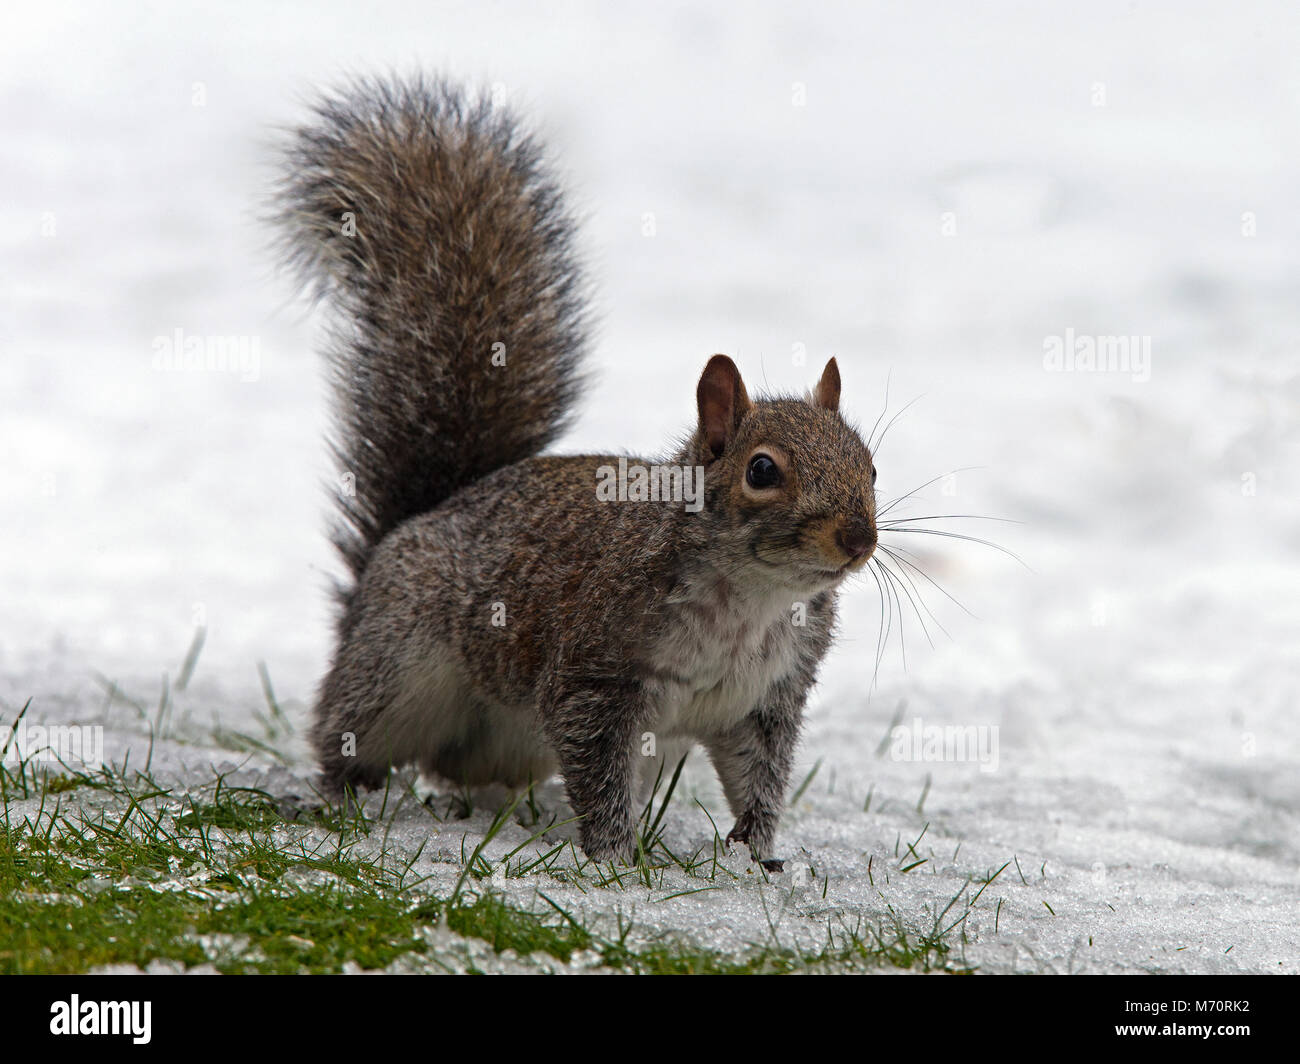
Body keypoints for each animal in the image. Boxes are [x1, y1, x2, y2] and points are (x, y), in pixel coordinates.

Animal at [274, 75, 879, 867]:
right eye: (763, 470)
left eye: (870, 465)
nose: (859, 539)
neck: (751, 602)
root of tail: (418, 521)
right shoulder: (596, 674)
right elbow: (598, 767)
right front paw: (615, 857)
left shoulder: (764, 700)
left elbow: (759, 777)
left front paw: (757, 857)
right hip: (396, 667)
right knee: (349, 733)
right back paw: (344, 797)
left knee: (462, 768)